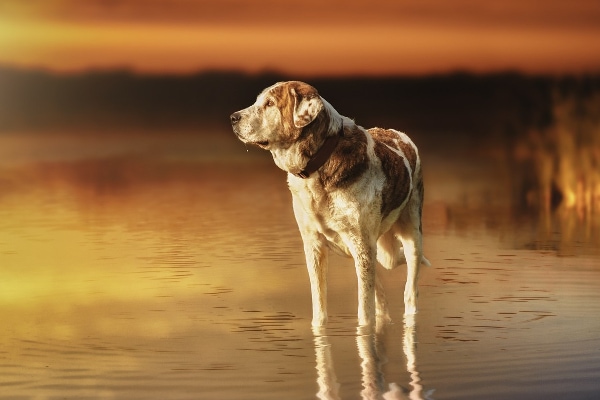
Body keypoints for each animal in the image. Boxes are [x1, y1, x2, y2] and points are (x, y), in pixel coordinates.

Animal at [231, 81, 432, 328]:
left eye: (269, 103)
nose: (233, 117)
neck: (318, 166)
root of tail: (397, 132)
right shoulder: (314, 245)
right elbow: (319, 303)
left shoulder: (362, 247)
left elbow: (364, 311)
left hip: (410, 231)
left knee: (409, 282)